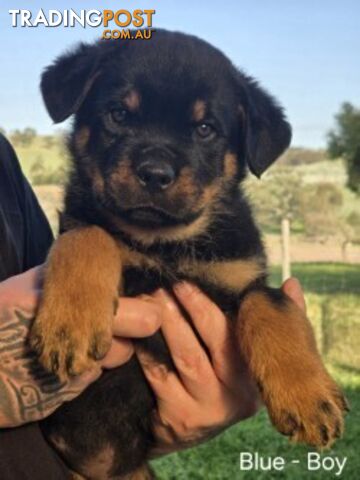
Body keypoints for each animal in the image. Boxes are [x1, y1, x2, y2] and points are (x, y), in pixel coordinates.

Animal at [32, 29, 348, 480]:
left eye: (205, 129)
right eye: (118, 114)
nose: (154, 174)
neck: (165, 243)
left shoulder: (242, 275)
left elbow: (271, 305)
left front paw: (308, 398)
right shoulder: (80, 223)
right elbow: (89, 235)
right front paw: (67, 327)